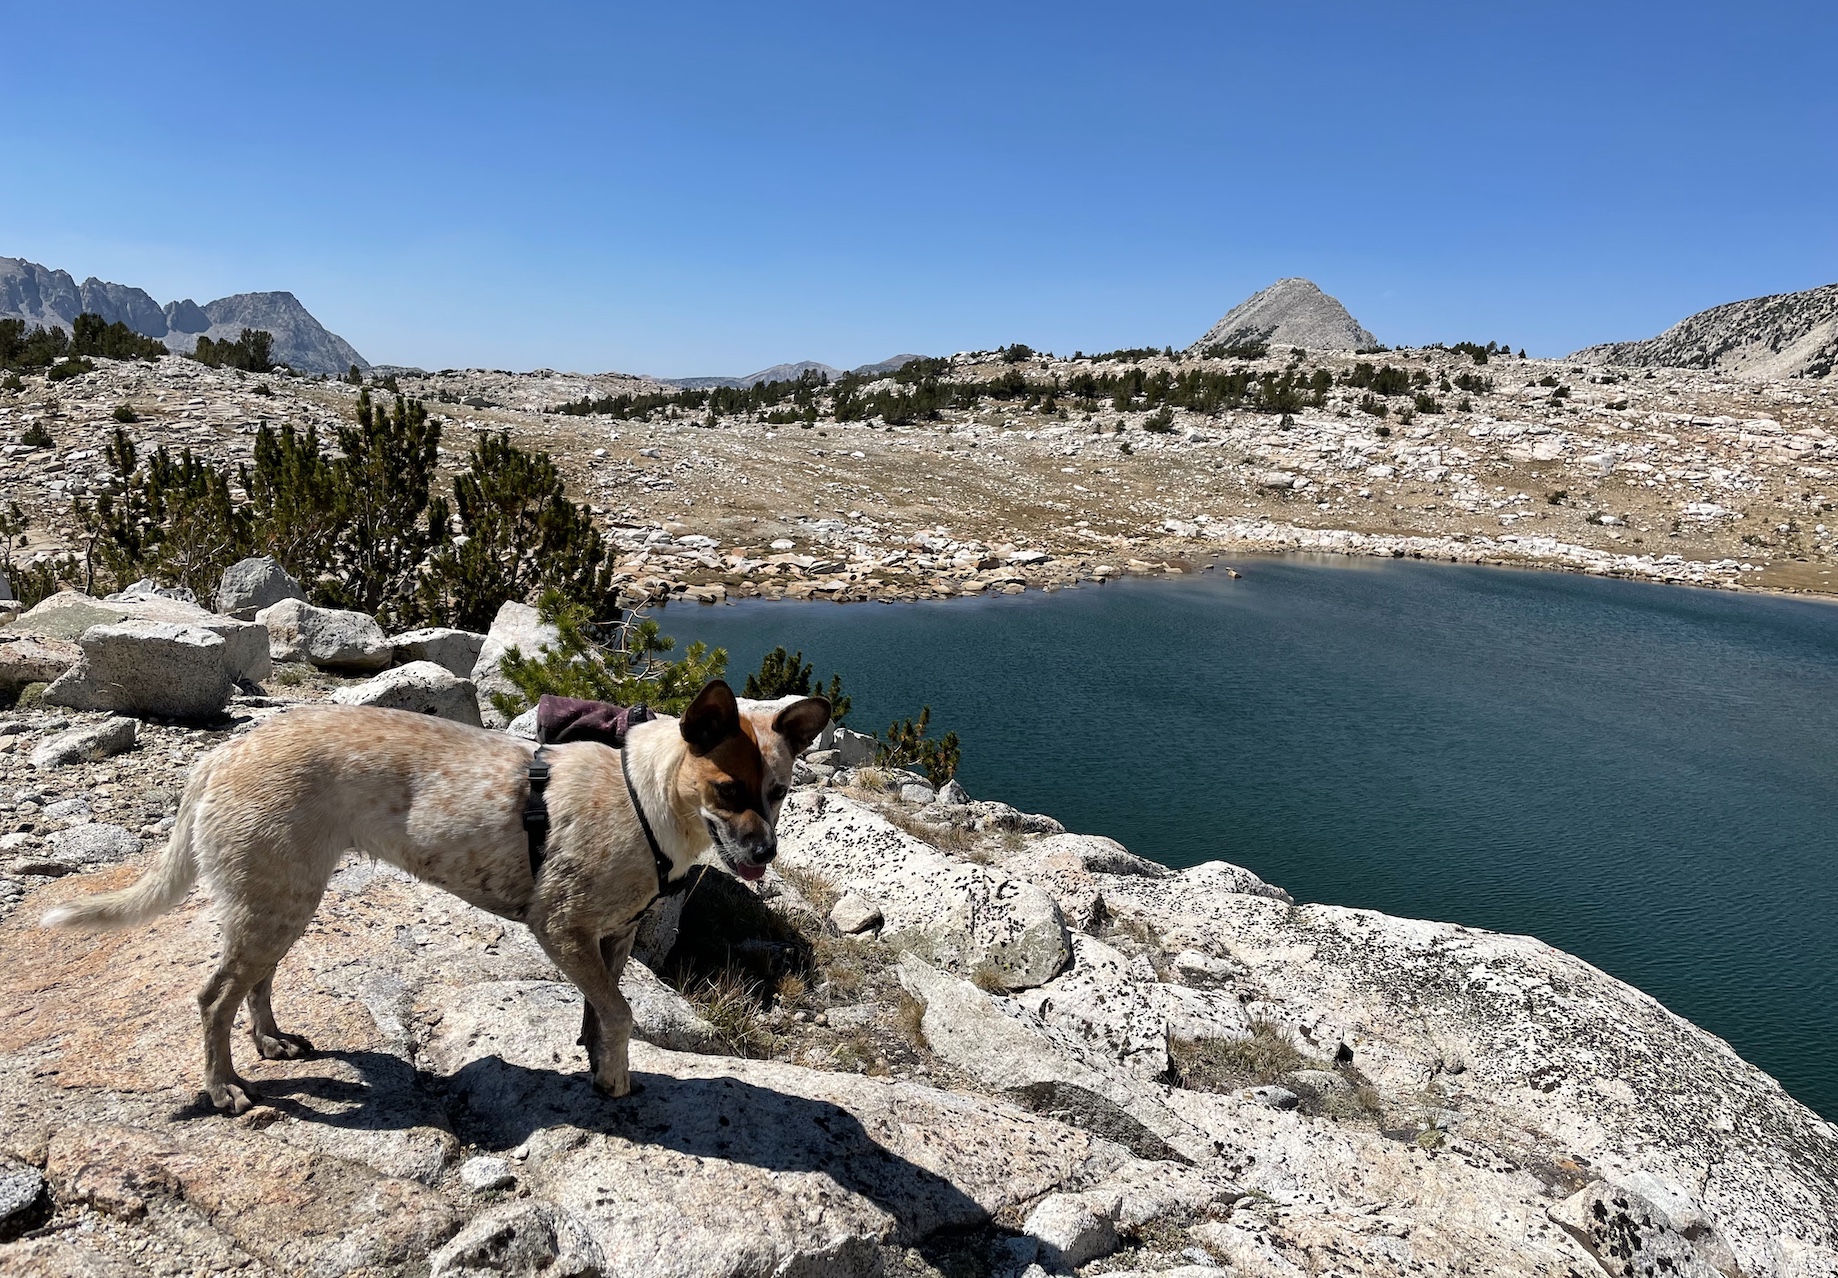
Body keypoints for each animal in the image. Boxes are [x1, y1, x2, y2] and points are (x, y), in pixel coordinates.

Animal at [39, 684, 830, 1118]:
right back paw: (224, 1088)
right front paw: (617, 1078)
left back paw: (270, 1041)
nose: (765, 856)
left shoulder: (612, 939)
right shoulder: (562, 928)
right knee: (212, 1000)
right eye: (728, 789)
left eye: (780, 792)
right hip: (273, 904)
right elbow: (621, 1013)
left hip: (282, 902)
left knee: (252, 985)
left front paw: (600, 1067)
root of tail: (220, 754)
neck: (647, 798)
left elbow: (604, 1014)